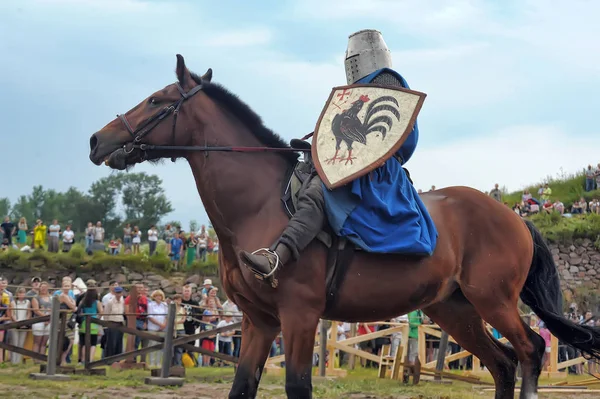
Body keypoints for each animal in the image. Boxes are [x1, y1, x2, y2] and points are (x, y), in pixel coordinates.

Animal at [89, 54, 600, 399]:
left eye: (157, 100)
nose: (97, 140)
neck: (256, 206)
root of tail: (516, 218)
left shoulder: (299, 315)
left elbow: (298, 386)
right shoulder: (258, 321)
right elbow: (242, 386)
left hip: (492, 299)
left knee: (530, 351)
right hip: (453, 309)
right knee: (503, 364)